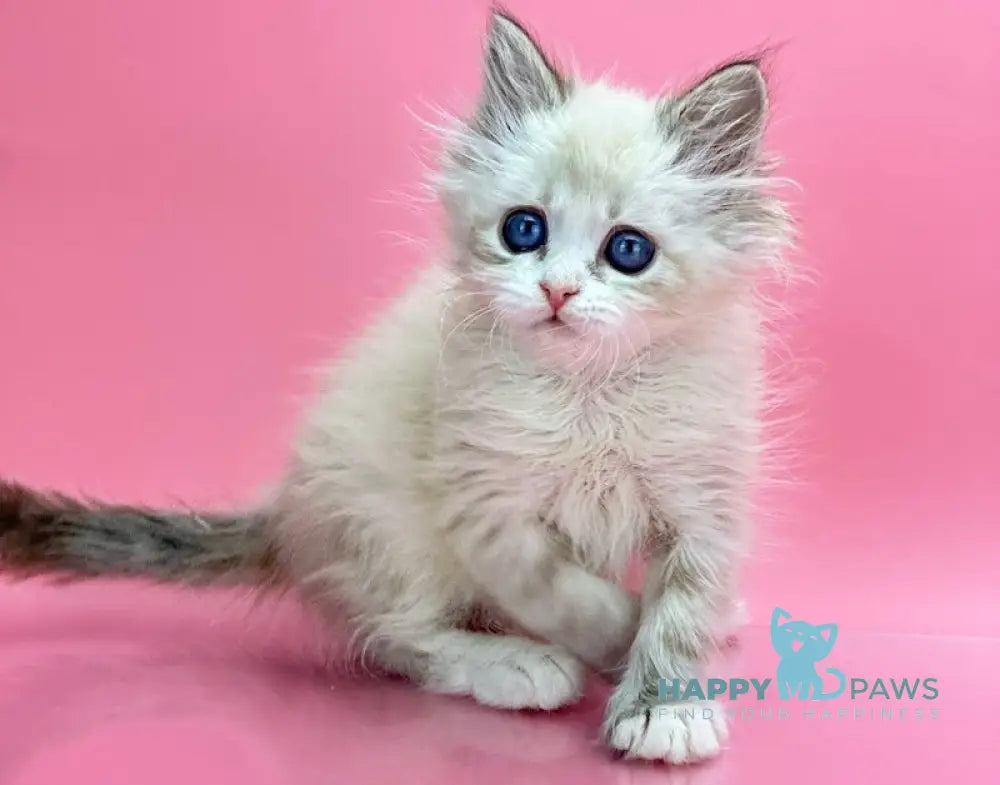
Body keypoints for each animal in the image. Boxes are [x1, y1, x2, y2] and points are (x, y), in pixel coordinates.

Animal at [3, 9, 792, 764]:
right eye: (524, 230)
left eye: (628, 250)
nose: (558, 291)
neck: (589, 398)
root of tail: (286, 518)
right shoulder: (482, 507)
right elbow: (560, 589)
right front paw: (619, 633)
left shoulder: (705, 502)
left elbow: (682, 608)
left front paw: (666, 705)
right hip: (387, 530)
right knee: (400, 637)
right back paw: (513, 664)